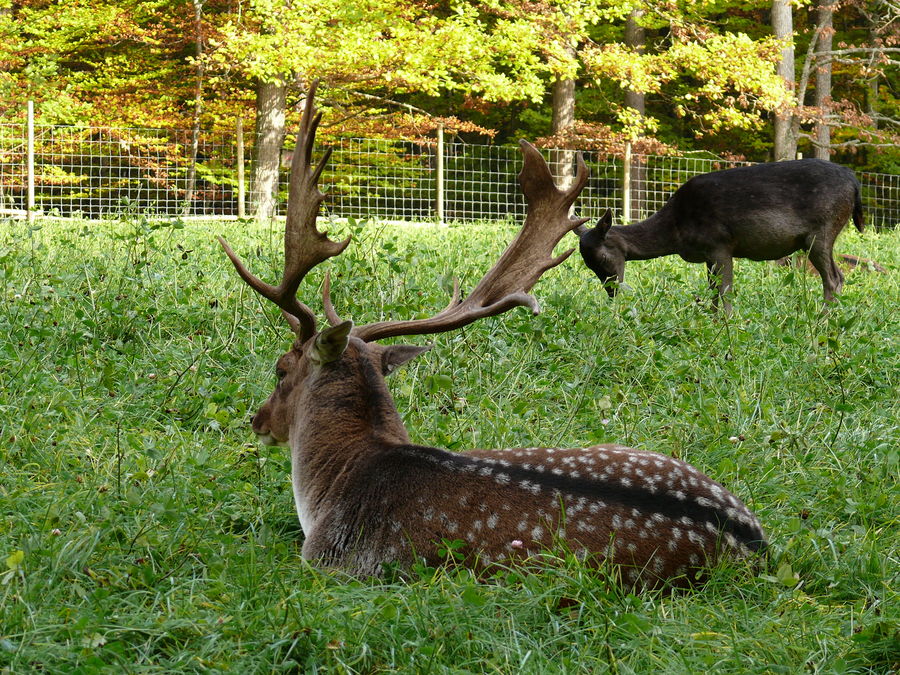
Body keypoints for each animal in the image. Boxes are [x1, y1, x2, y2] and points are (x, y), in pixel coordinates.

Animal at [576, 159, 864, 314]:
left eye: (602, 257)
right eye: (588, 265)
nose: (612, 292)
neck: (675, 231)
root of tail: (854, 180)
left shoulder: (720, 244)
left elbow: (724, 290)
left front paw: (723, 323)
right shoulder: (707, 254)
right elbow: (713, 289)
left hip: (822, 230)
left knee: (834, 278)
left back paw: (823, 319)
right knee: (839, 276)